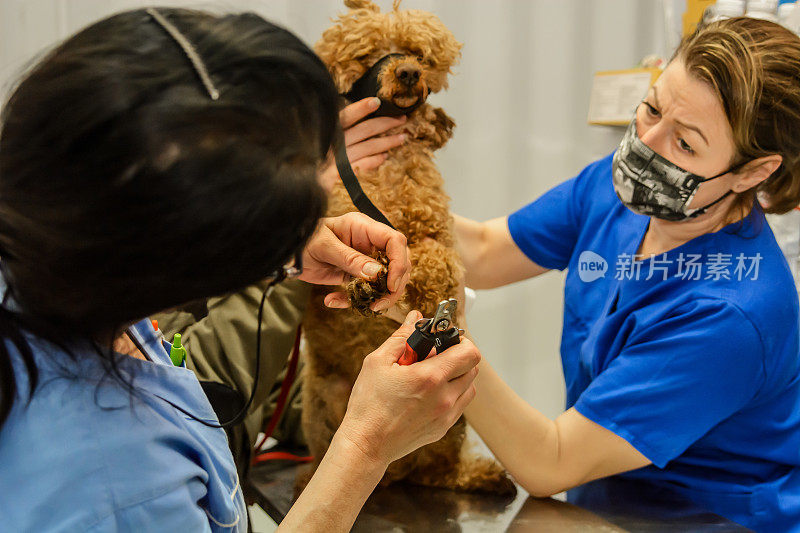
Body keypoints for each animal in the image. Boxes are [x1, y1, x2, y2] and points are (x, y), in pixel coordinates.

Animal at [296, 0, 516, 496]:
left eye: (419, 54)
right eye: (368, 53)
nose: (409, 73)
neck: (390, 166)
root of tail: (396, 472)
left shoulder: (437, 231)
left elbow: (433, 257)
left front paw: (415, 283)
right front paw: (366, 283)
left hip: (453, 427)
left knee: (440, 472)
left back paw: (477, 476)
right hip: (318, 404)